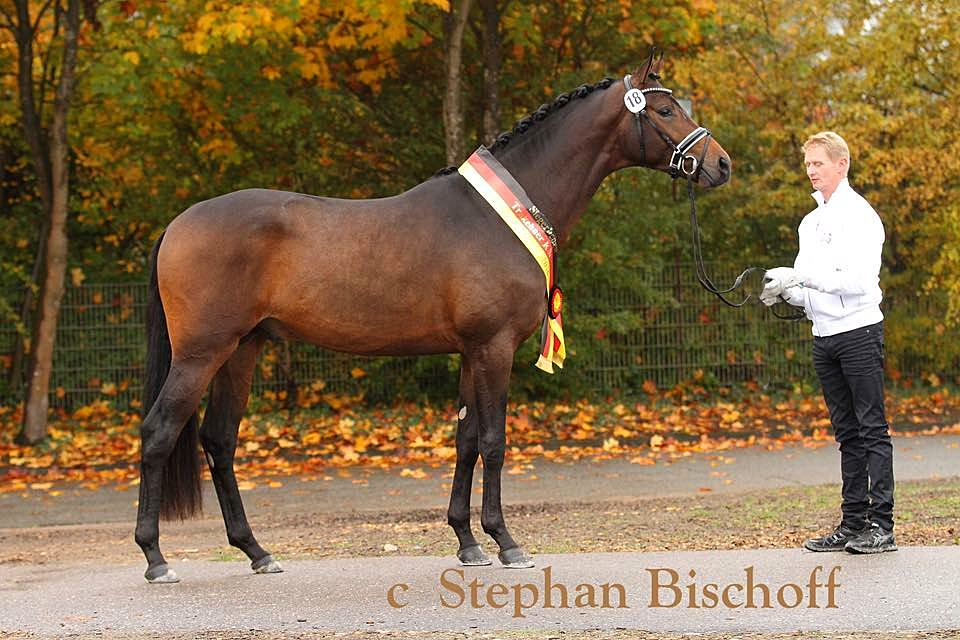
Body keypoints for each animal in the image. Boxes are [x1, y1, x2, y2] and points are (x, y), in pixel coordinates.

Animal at [135, 56, 732, 584]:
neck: (497, 215)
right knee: (160, 431)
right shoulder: (494, 348)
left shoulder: (470, 351)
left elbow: (465, 440)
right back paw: (156, 558)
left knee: (219, 441)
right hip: (202, 353)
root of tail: (177, 224)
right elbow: (493, 440)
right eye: (665, 111)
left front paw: (468, 543)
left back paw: (257, 552)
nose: (721, 164)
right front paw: (506, 542)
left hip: (242, 351)